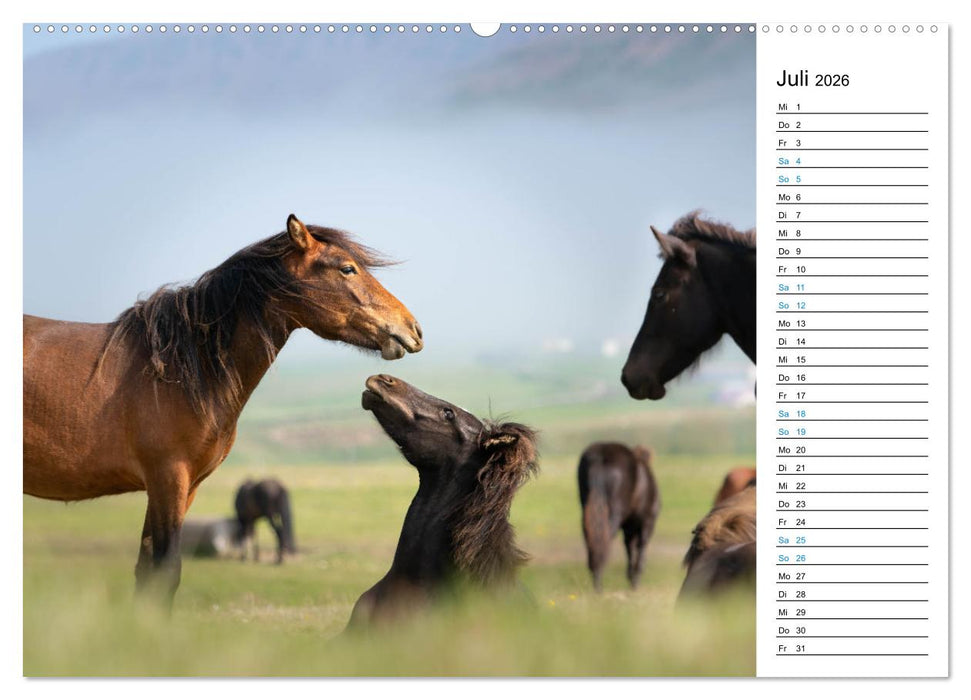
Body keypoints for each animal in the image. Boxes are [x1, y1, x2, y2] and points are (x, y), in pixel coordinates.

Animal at [23, 214, 423, 606]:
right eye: (347, 268)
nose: (413, 328)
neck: (180, 369)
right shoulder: (168, 479)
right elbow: (165, 571)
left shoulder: (183, 488)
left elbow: (147, 570)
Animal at [577, 442, 661, 592]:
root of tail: (600, 456)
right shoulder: (647, 523)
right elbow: (640, 549)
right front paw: (635, 582)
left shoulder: (629, 527)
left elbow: (629, 548)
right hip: (615, 514)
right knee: (603, 543)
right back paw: (599, 586)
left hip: (587, 507)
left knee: (592, 540)